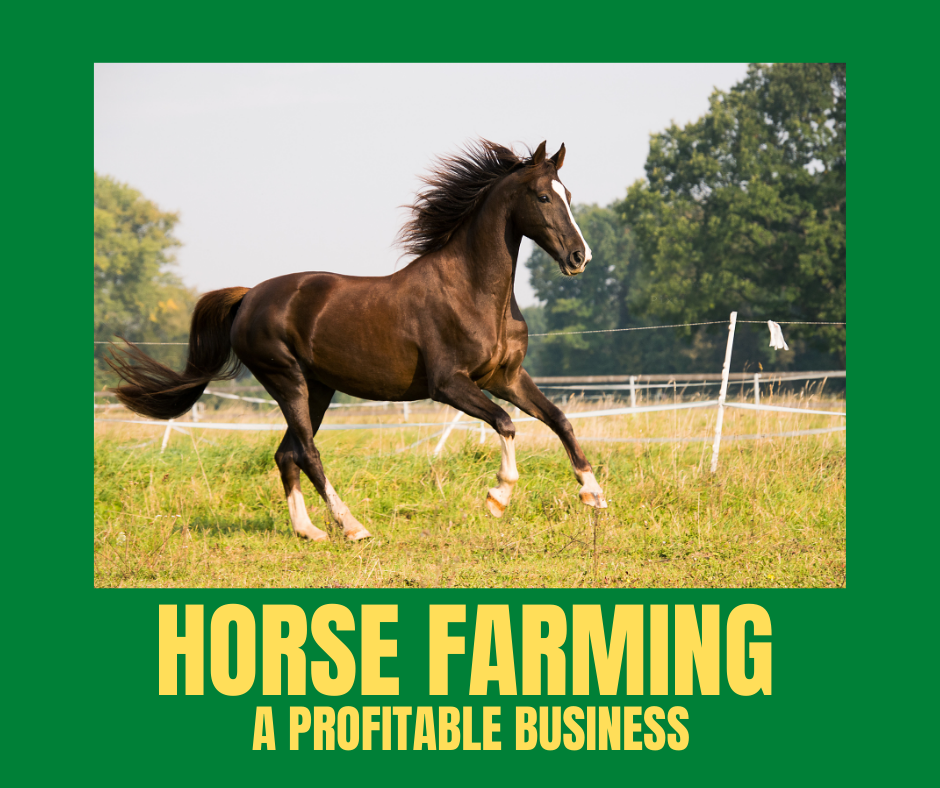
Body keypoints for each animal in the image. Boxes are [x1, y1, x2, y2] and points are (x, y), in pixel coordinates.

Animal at [108, 139, 607, 542]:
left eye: (568, 195)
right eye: (543, 196)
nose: (579, 257)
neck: (473, 291)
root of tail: (249, 296)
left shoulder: (506, 377)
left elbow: (559, 419)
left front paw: (594, 493)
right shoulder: (449, 384)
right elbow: (505, 423)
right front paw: (498, 497)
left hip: (318, 388)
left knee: (286, 453)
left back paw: (309, 531)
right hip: (286, 380)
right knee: (307, 452)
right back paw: (352, 527)